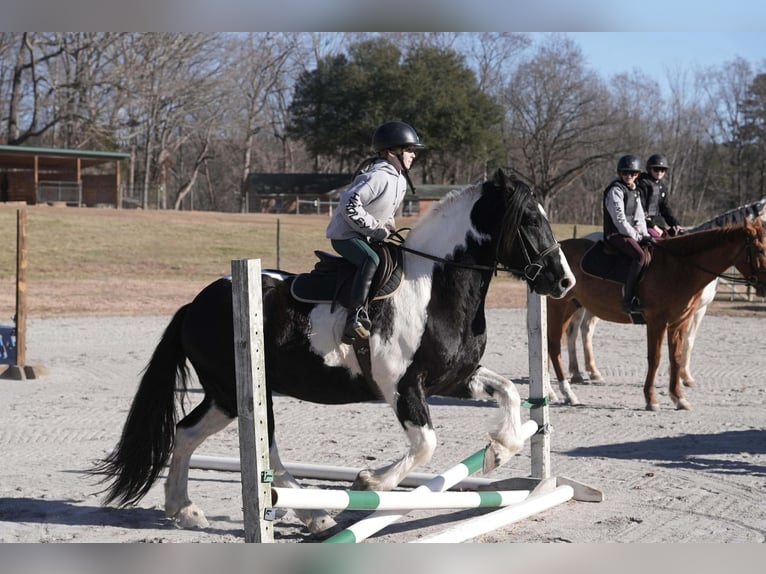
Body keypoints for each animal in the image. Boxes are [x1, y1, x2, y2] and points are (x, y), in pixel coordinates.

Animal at [90, 168, 576, 536]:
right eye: (529, 219)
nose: (564, 281)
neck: (435, 288)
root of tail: (195, 304)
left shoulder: (456, 378)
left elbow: (509, 393)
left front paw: (500, 451)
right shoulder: (403, 388)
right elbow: (425, 444)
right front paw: (370, 480)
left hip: (224, 397)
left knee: (187, 433)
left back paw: (186, 509)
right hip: (244, 394)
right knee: (264, 456)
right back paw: (314, 513)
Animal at [546, 217, 766, 411]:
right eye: (760, 249)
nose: (764, 287)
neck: (680, 267)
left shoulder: (679, 322)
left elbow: (676, 356)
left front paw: (679, 398)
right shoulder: (657, 321)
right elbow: (655, 358)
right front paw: (651, 399)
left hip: (572, 306)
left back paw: (557, 390)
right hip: (558, 307)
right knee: (554, 346)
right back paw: (566, 392)